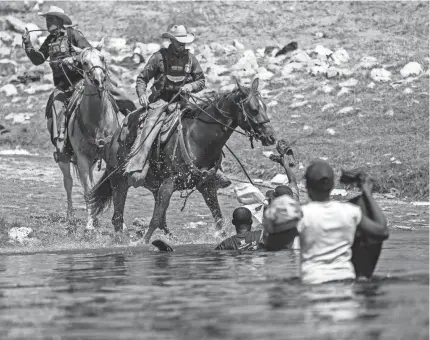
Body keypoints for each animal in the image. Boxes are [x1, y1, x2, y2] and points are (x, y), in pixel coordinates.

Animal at [87, 77, 276, 242]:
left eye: (265, 107)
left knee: (160, 219)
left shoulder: (206, 185)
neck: (197, 138)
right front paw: (143, 242)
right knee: (118, 217)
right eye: (254, 109)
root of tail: (113, 139)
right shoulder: (169, 183)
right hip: (119, 182)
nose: (271, 137)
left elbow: (218, 218)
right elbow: (155, 217)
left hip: (153, 186)